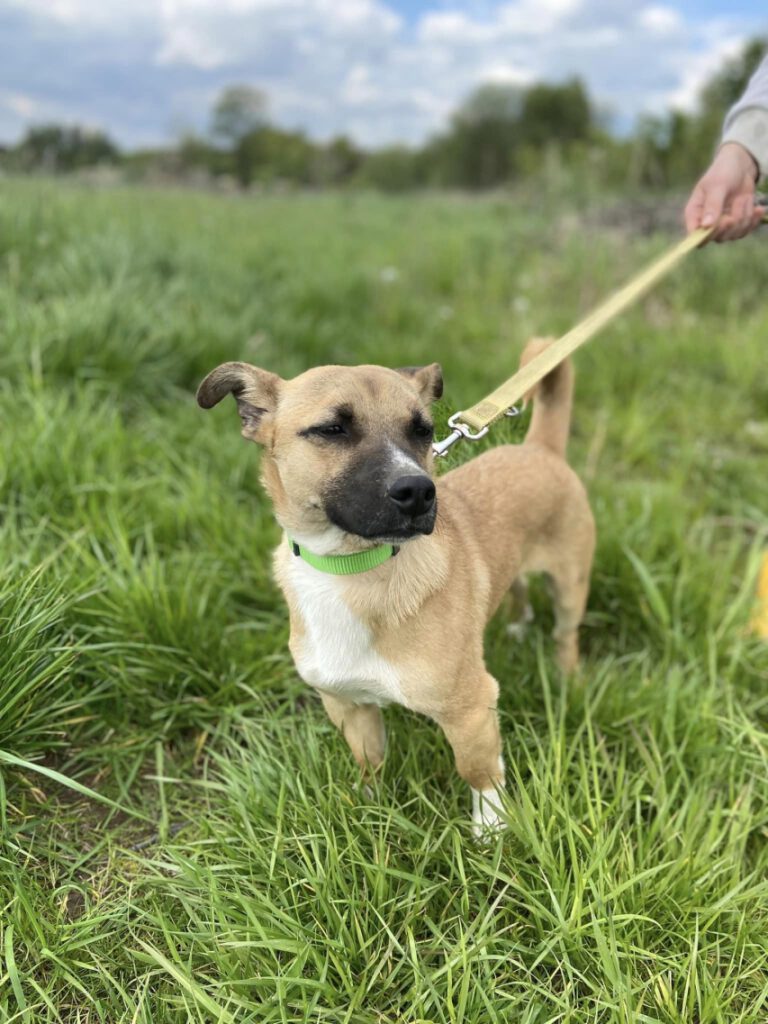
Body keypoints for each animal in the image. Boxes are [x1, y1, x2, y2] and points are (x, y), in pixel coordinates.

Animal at [196, 339, 593, 835]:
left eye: (423, 431)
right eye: (331, 429)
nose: (419, 491)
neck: (352, 568)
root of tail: (540, 449)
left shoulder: (471, 708)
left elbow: (478, 770)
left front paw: (491, 828)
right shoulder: (348, 706)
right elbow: (369, 762)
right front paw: (370, 808)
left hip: (570, 587)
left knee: (564, 636)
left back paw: (567, 679)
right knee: (518, 589)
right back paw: (519, 626)